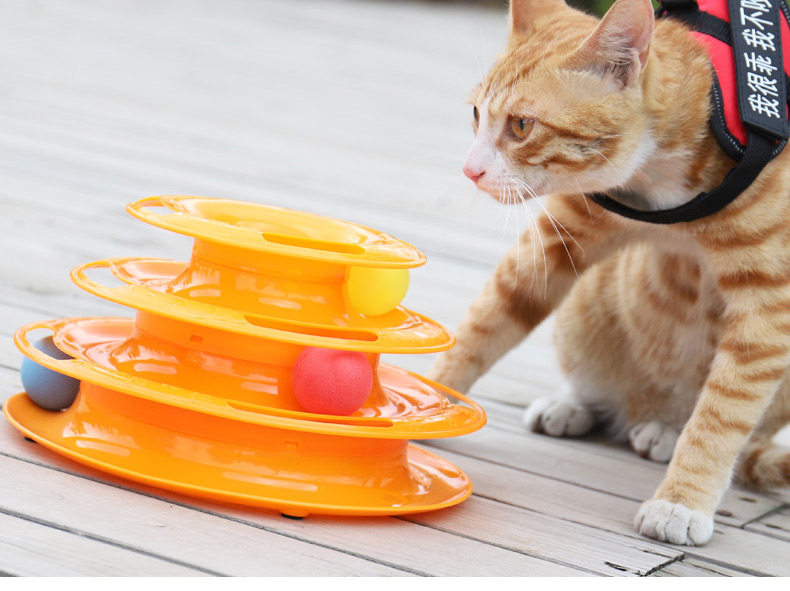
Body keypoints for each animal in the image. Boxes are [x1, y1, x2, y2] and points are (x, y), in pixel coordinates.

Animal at [429, 0, 790, 546]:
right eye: (475, 114)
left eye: (521, 125)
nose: (471, 171)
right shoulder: (557, 242)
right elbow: (485, 324)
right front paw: (428, 405)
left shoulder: (768, 309)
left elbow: (723, 411)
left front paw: (681, 501)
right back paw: (574, 407)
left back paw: (666, 431)